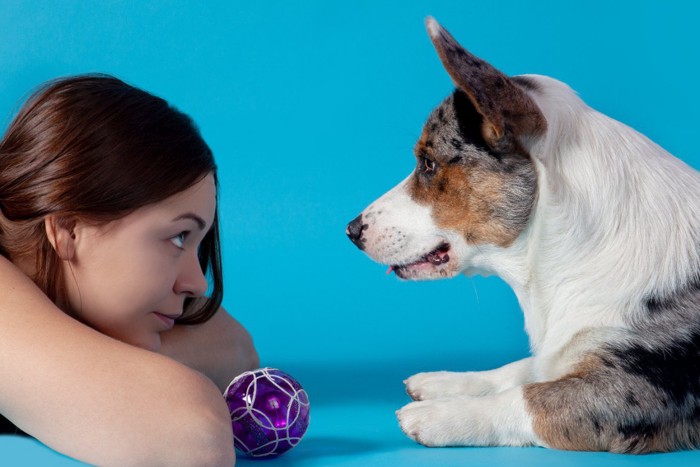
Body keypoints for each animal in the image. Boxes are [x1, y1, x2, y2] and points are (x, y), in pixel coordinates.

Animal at [344, 17, 700, 454]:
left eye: (427, 164)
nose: (351, 230)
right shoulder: (559, 351)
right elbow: (521, 368)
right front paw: (444, 382)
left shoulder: (634, 391)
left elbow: (527, 397)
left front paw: (438, 415)